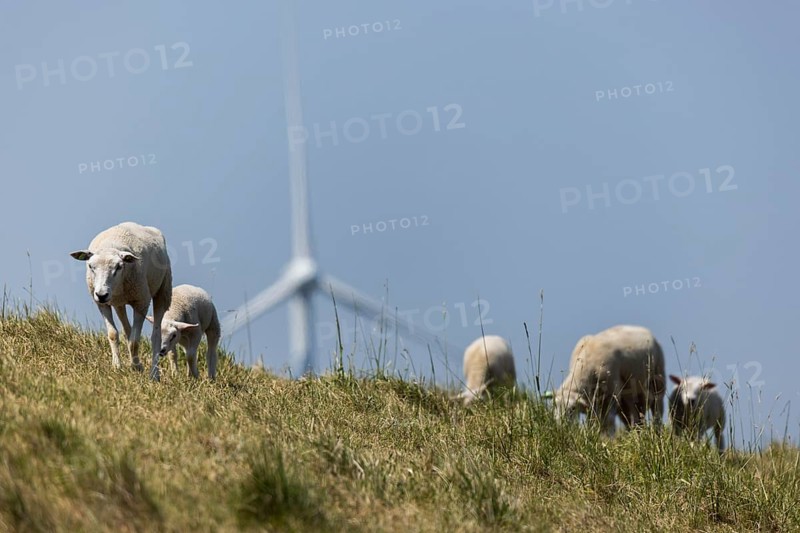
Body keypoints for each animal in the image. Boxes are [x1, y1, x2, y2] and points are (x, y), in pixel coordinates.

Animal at [70, 222, 172, 381]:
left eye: (119, 267)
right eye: (91, 266)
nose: (101, 294)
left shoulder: (141, 302)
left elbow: (135, 341)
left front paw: (135, 366)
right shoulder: (102, 304)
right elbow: (113, 334)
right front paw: (117, 367)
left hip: (163, 291)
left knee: (156, 335)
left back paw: (154, 374)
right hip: (119, 303)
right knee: (127, 329)